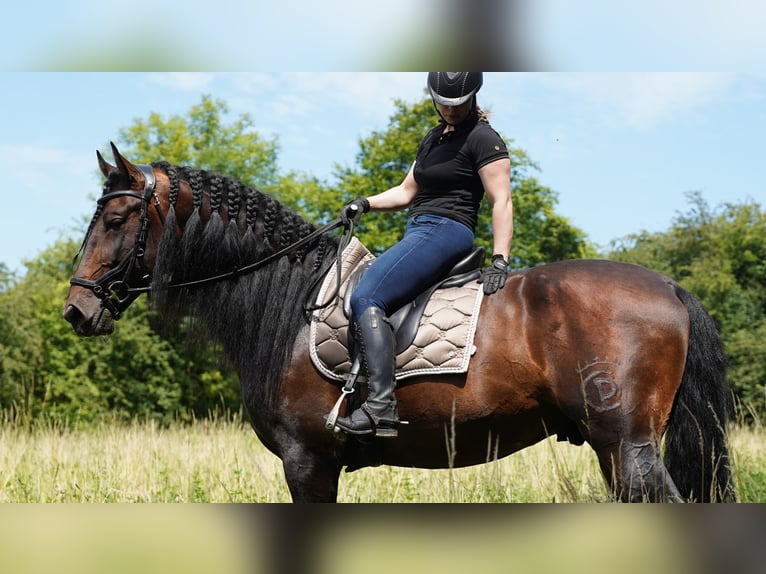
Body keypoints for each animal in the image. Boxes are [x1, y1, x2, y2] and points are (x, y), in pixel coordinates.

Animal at [64, 145, 736, 504]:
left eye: (117, 220)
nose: (76, 309)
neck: (290, 301)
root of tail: (669, 287)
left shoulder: (307, 461)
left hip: (628, 448)